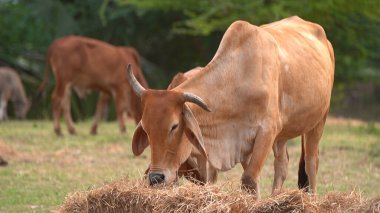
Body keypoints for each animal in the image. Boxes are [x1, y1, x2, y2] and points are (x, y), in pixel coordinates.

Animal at [129, 16, 334, 198]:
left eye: (174, 126)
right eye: (146, 129)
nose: (156, 178)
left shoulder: (267, 131)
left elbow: (249, 179)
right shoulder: (242, 142)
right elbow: (251, 183)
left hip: (319, 120)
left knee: (311, 162)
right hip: (282, 136)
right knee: (282, 164)